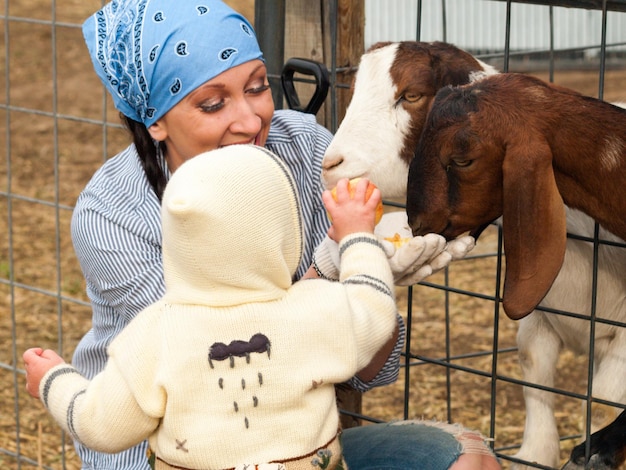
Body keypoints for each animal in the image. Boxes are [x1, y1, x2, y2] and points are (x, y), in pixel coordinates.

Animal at [324, 41, 624, 470]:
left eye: (411, 95)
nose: (331, 166)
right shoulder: (539, 319)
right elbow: (534, 374)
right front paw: (535, 453)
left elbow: (601, 403)